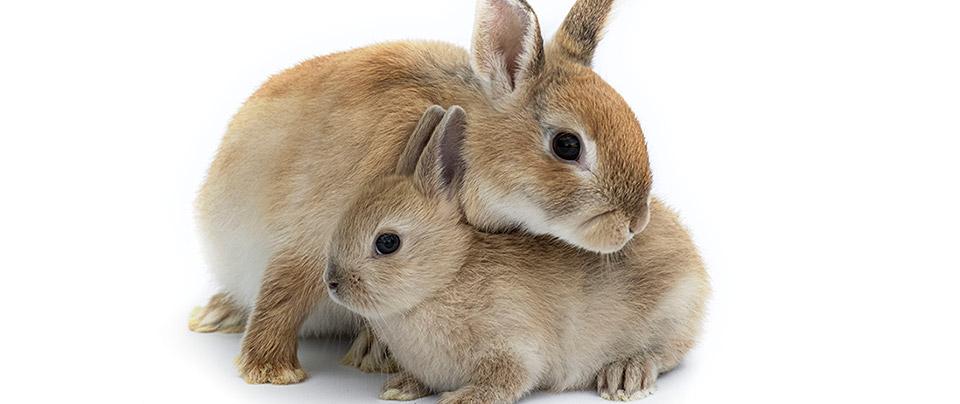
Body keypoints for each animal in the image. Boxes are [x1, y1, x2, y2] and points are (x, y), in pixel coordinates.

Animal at [191, 0, 660, 384]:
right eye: (567, 145)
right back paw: (216, 315)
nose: (635, 223)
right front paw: (270, 372)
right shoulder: (312, 232)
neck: (471, 145)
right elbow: (284, 291)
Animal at [324, 105, 709, 403]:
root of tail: (697, 269)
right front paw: (400, 387)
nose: (333, 283)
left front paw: (461, 398)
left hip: (672, 309)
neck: (446, 277)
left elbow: (507, 378)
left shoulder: (515, 345)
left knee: (667, 352)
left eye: (387, 243)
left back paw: (627, 373)